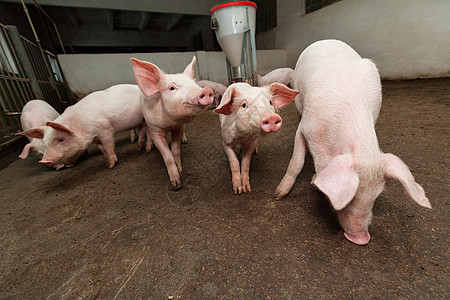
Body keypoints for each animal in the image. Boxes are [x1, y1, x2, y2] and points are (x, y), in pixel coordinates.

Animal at [130, 55, 214, 189]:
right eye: (172, 88)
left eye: (194, 84)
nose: (206, 90)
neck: (169, 124)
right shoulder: (155, 129)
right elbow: (167, 155)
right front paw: (176, 184)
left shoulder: (178, 127)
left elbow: (175, 150)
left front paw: (180, 171)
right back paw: (148, 149)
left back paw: (184, 141)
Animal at [272, 39, 430, 245]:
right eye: (351, 197)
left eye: (376, 197)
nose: (362, 239)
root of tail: (327, 40)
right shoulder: (306, 128)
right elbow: (296, 163)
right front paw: (278, 196)